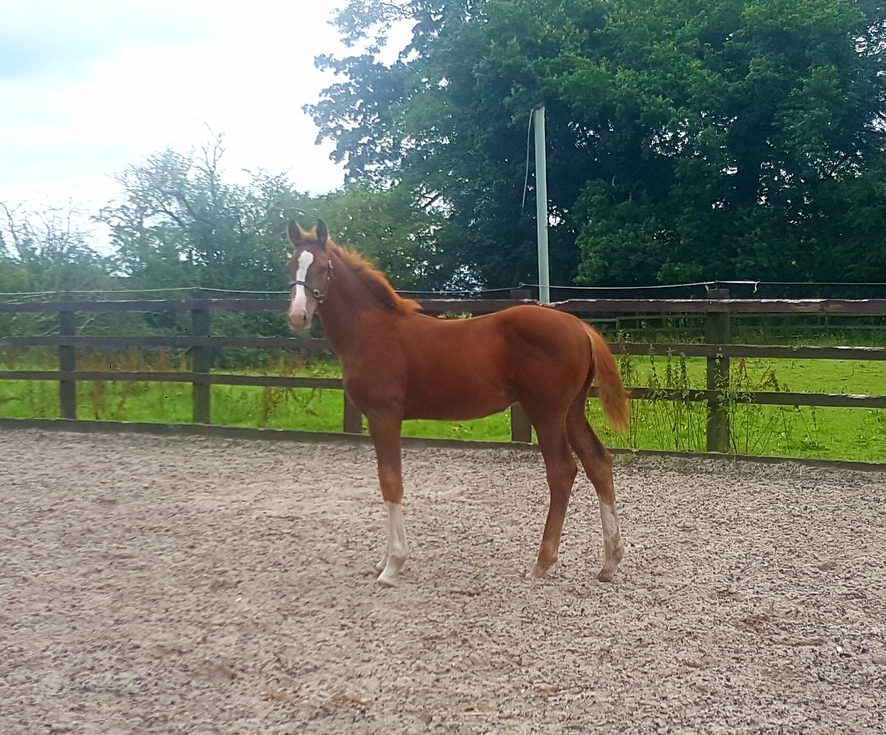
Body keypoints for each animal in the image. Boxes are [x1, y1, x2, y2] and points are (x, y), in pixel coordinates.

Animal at [286, 220, 630, 586]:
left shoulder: (384, 415)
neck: (371, 330)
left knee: (562, 471)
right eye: (290, 266)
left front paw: (392, 564)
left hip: (547, 413)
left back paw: (543, 561)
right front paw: (383, 560)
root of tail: (578, 324)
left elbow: (390, 482)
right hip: (572, 412)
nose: (298, 316)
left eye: (324, 268)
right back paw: (609, 562)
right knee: (598, 463)